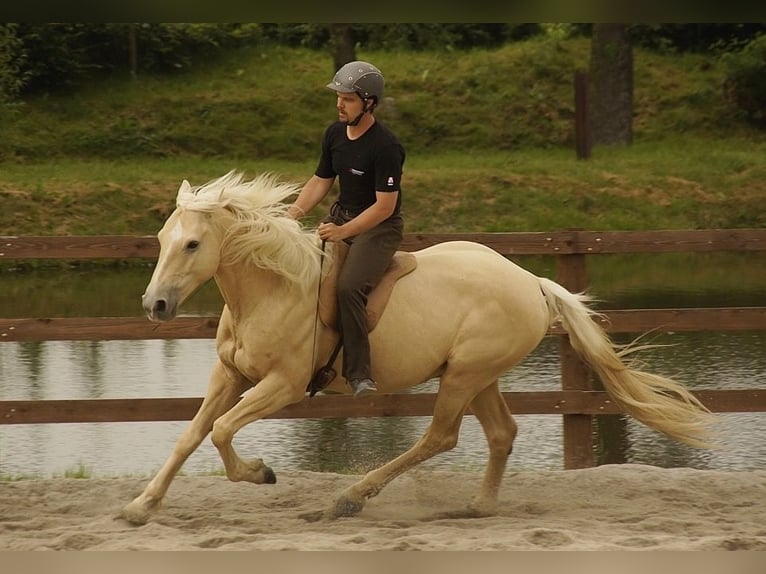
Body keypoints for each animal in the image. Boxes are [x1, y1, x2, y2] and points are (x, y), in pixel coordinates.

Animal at [120, 171, 712, 528]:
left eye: (192, 244)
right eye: (162, 239)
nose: (155, 305)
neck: (272, 290)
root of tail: (532, 282)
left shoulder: (282, 386)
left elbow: (221, 431)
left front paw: (261, 473)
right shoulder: (230, 376)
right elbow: (192, 435)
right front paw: (141, 506)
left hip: (463, 376)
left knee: (441, 436)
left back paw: (351, 497)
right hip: (478, 376)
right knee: (501, 433)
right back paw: (478, 506)